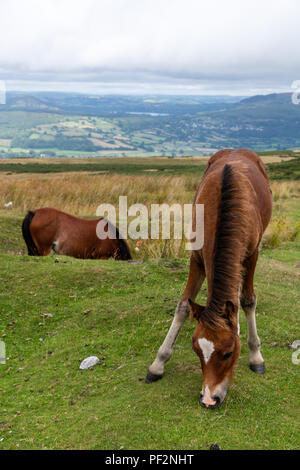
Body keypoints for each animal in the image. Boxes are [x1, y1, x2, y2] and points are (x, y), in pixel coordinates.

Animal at [146, 150, 274, 408]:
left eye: (228, 353)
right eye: (196, 350)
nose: (208, 399)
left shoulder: (252, 255)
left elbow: (248, 301)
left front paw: (256, 356)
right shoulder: (196, 258)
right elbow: (183, 306)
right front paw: (158, 363)